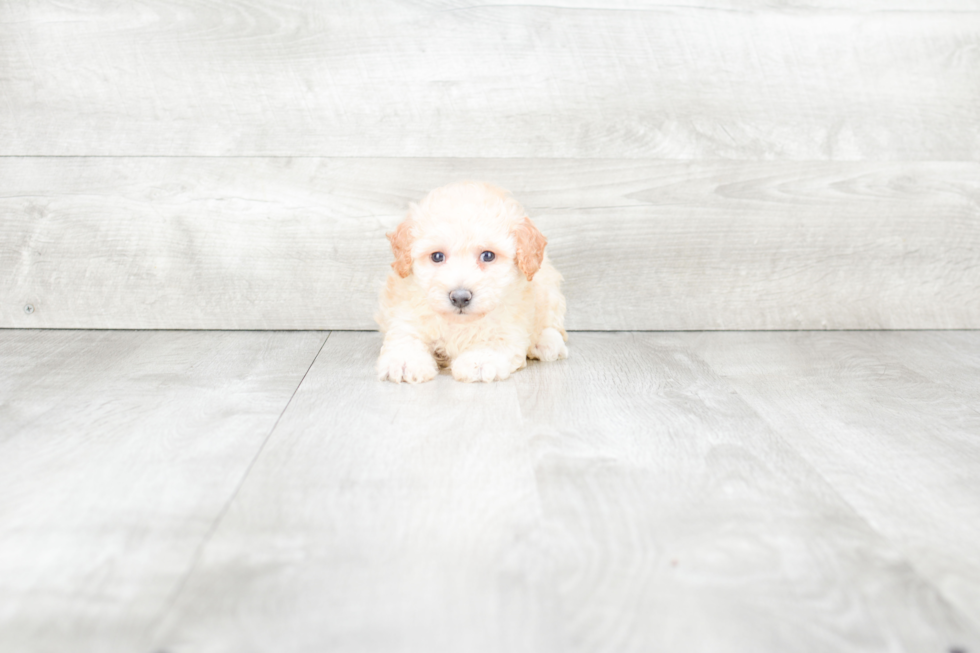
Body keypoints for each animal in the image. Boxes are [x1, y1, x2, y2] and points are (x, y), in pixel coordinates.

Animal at [378, 181, 576, 382]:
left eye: (488, 256)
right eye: (437, 256)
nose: (459, 297)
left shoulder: (510, 323)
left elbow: (494, 339)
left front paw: (480, 361)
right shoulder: (405, 311)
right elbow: (406, 335)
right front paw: (404, 362)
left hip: (549, 290)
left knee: (552, 325)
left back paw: (547, 343)